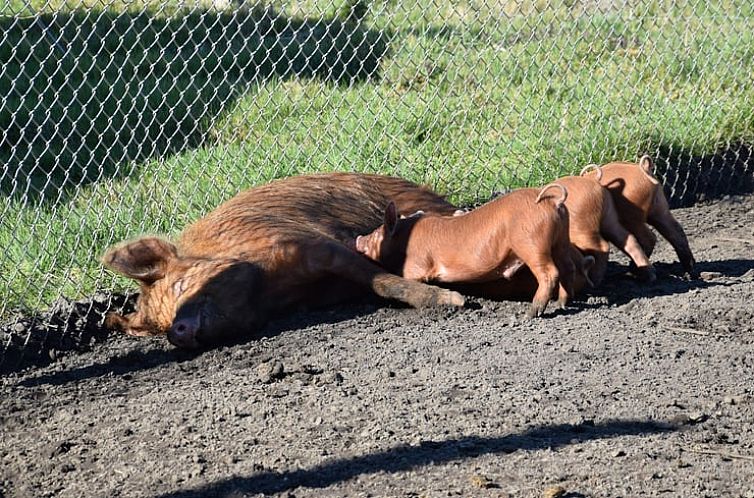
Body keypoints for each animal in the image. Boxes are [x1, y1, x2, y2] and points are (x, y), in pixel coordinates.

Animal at [100, 173, 464, 348]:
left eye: (180, 286)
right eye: (161, 325)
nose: (176, 333)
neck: (270, 291)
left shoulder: (313, 244)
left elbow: (380, 280)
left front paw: (452, 302)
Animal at [356, 184, 572, 320]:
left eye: (377, 234)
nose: (358, 239)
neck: (404, 238)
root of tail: (552, 202)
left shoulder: (416, 267)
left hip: (531, 243)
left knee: (549, 273)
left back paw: (531, 313)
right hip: (561, 239)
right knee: (567, 268)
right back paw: (561, 304)